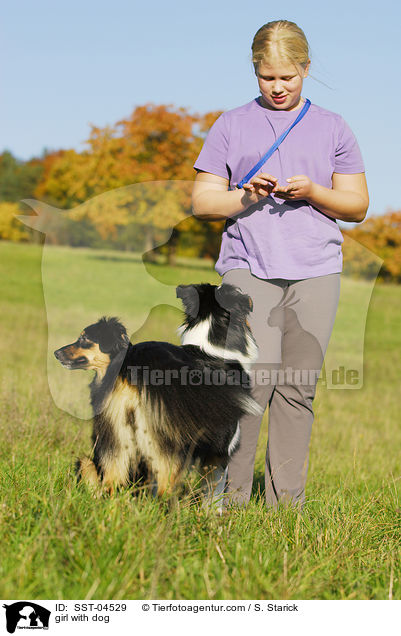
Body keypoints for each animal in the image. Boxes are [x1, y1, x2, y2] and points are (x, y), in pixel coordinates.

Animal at [54, 284, 260, 506]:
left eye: (83, 339)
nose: (56, 353)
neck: (209, 349)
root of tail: (132, 366)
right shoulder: (220, 451)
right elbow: (213, 496)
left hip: (113, 441)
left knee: (109, 484)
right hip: (168, 450)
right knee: (163, 493)